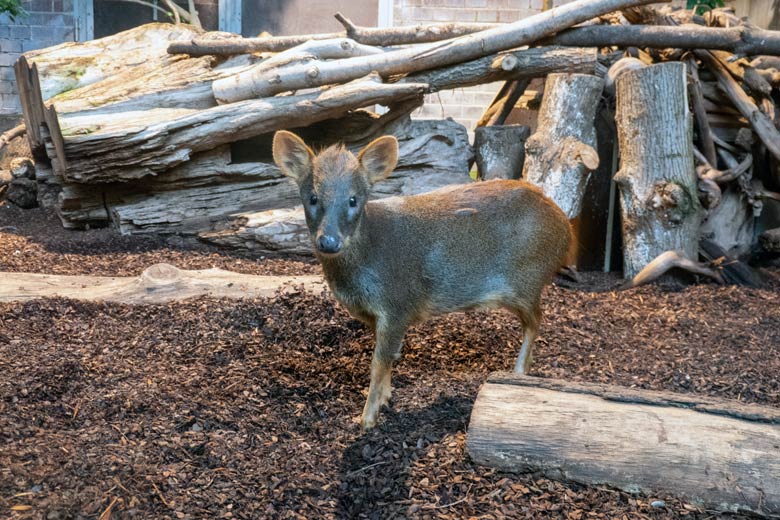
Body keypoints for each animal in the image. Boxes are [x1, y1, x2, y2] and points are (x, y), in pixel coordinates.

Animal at [274, 131, 572, 430]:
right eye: (313, 197)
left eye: (353, 199)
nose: (329, 241)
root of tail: (566, 228)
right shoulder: (375, 316)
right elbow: (389, 358)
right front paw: (385, 399)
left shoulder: (398, 304)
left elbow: (378, 362)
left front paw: (367, 419)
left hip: (527, 279)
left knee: (537, 319)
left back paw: (519, 372)